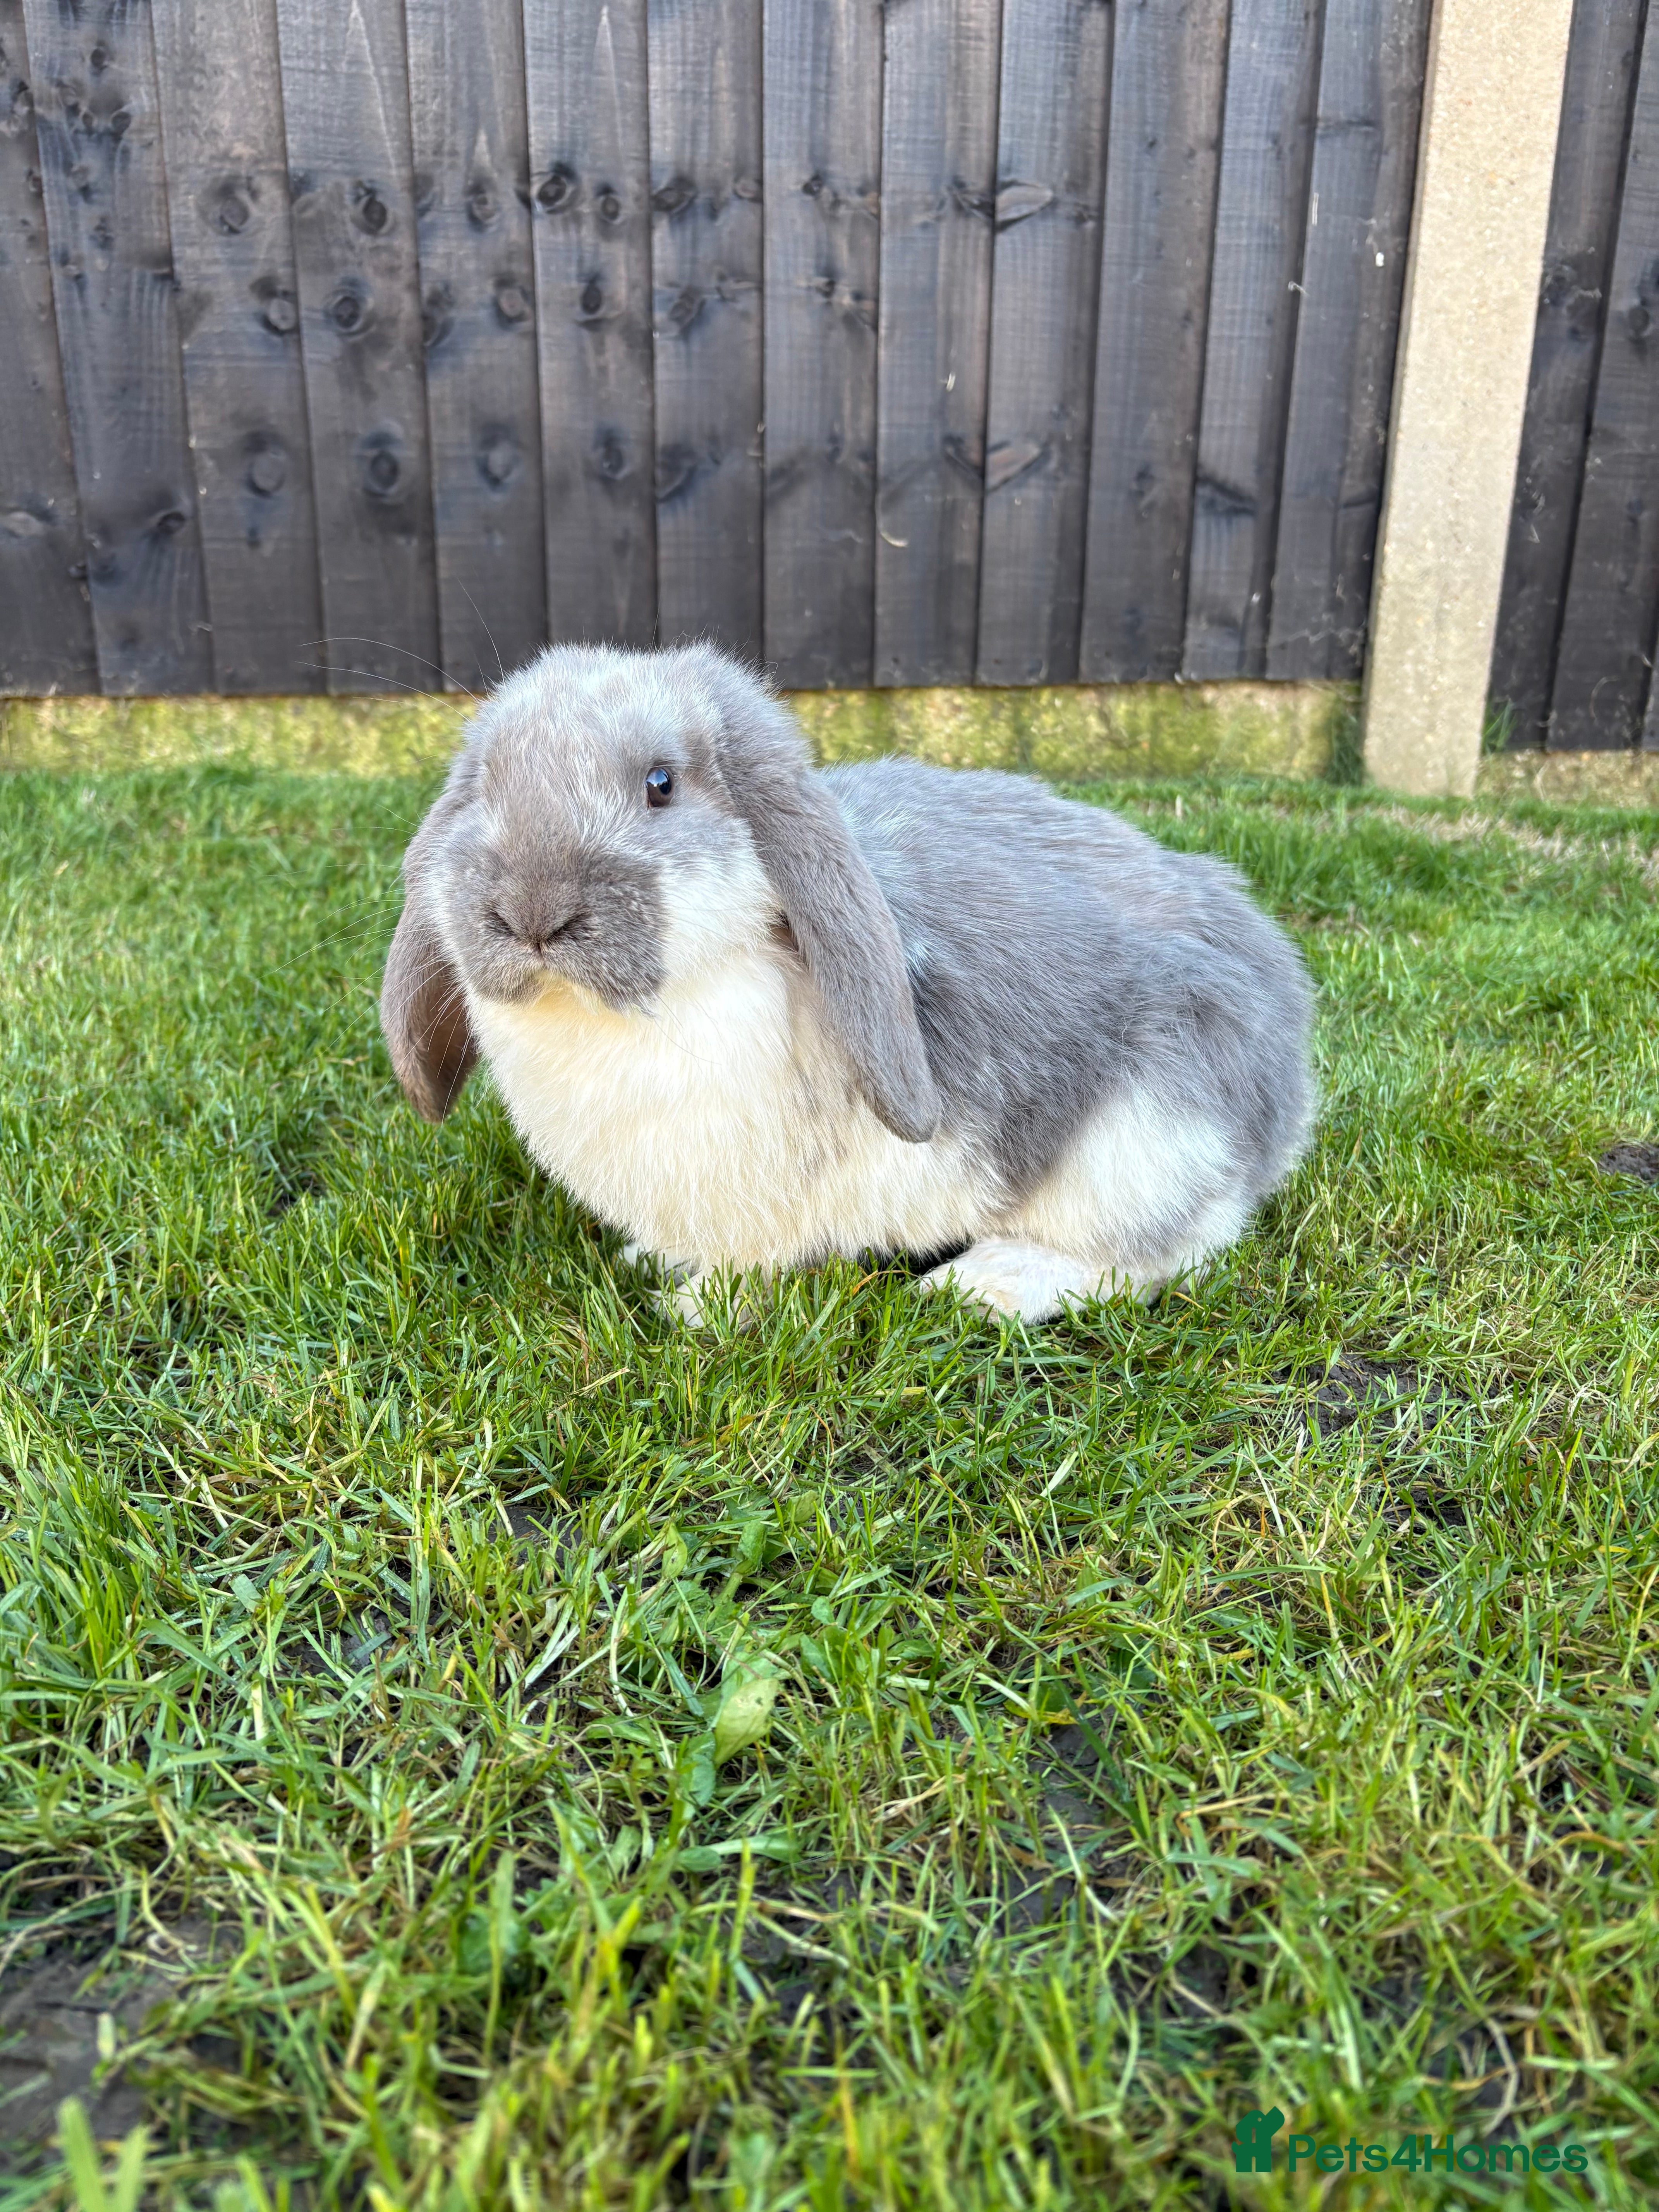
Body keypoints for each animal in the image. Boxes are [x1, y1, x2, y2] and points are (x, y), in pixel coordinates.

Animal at [380, 643, 1315, 1323]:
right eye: (485, 785)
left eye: (660, 784)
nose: (532, 915)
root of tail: (1288, 1087)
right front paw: (652, 1258)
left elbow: (753, 1265)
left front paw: (697, 1307)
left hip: (1149, 1135)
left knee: (1161, 1252)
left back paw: (985, 1288)